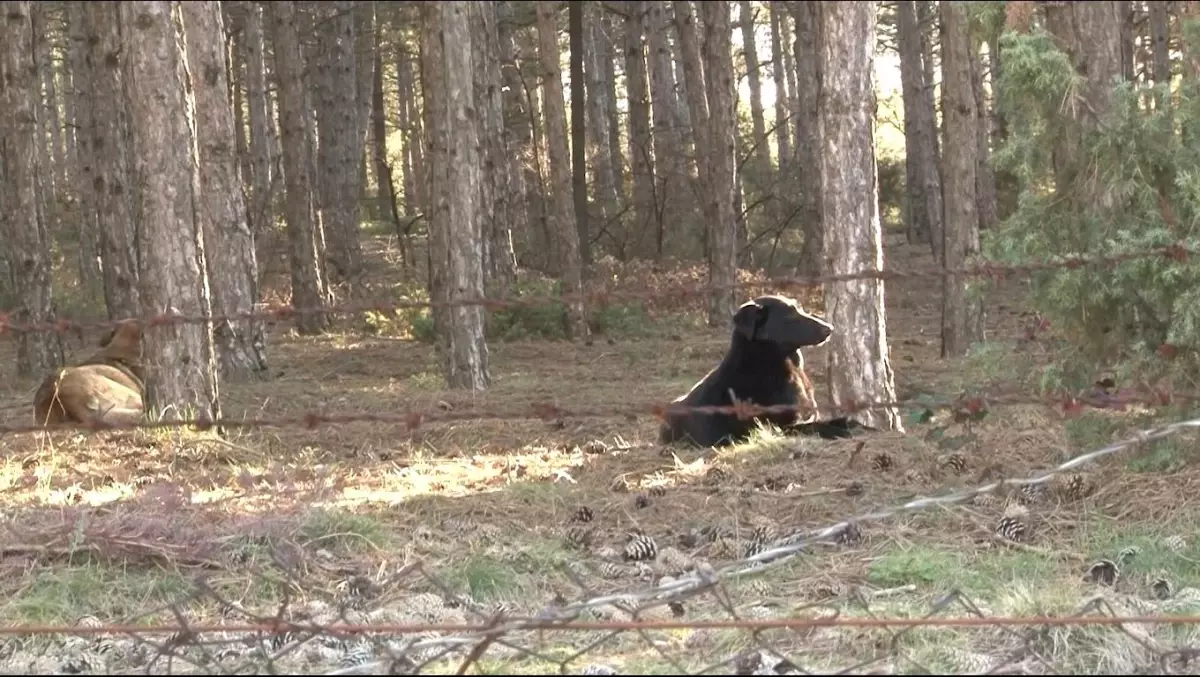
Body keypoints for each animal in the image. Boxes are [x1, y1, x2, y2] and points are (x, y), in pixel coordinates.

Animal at [662, 296, 859, 448]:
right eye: (789, 315)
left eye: (800, 308)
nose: (830, 328)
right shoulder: (782, 426)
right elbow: (818, 426)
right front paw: (843, 428)